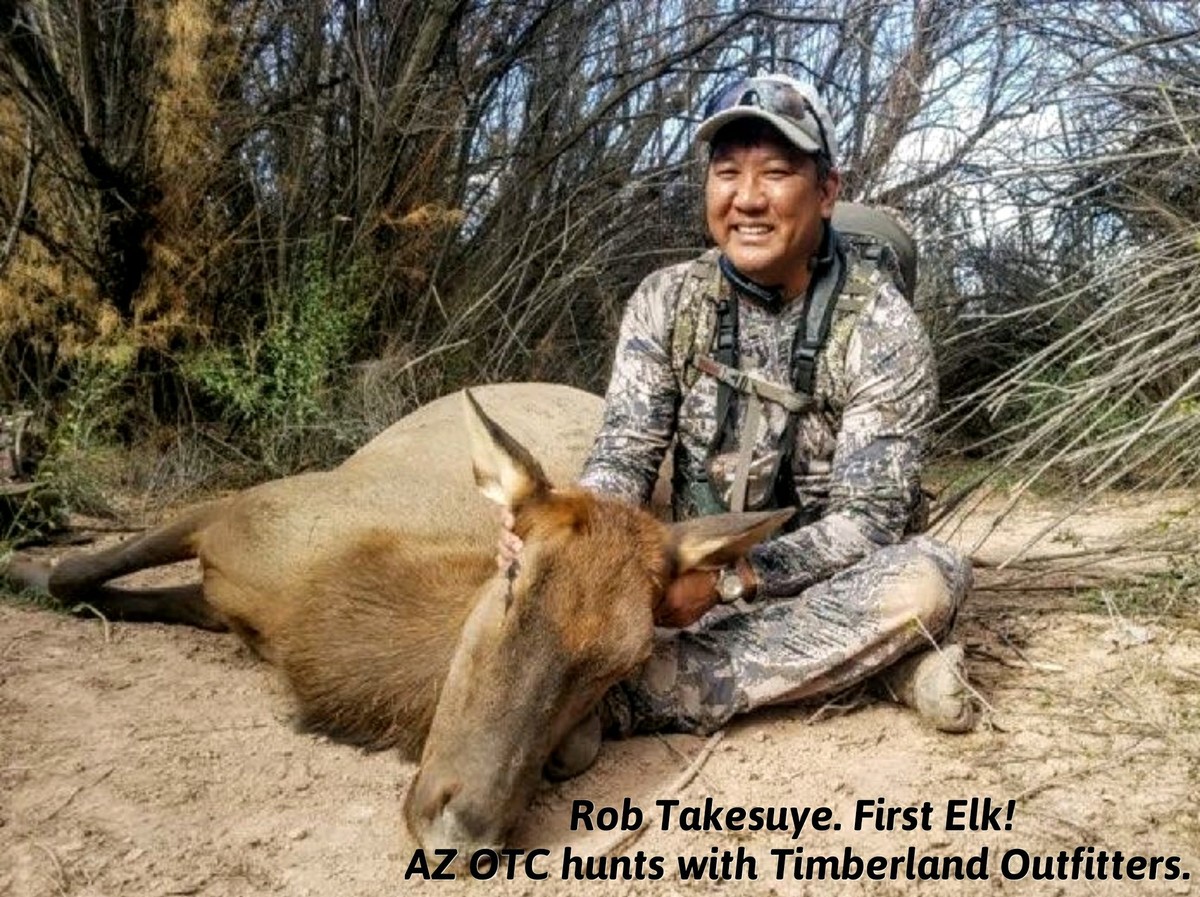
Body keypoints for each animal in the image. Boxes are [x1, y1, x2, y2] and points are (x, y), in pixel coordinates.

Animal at [5, 382, 791, 854]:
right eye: (512, 577)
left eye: (623, 662)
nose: (459, 831)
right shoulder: (238, 510)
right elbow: (76, 573)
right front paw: (20, 566)